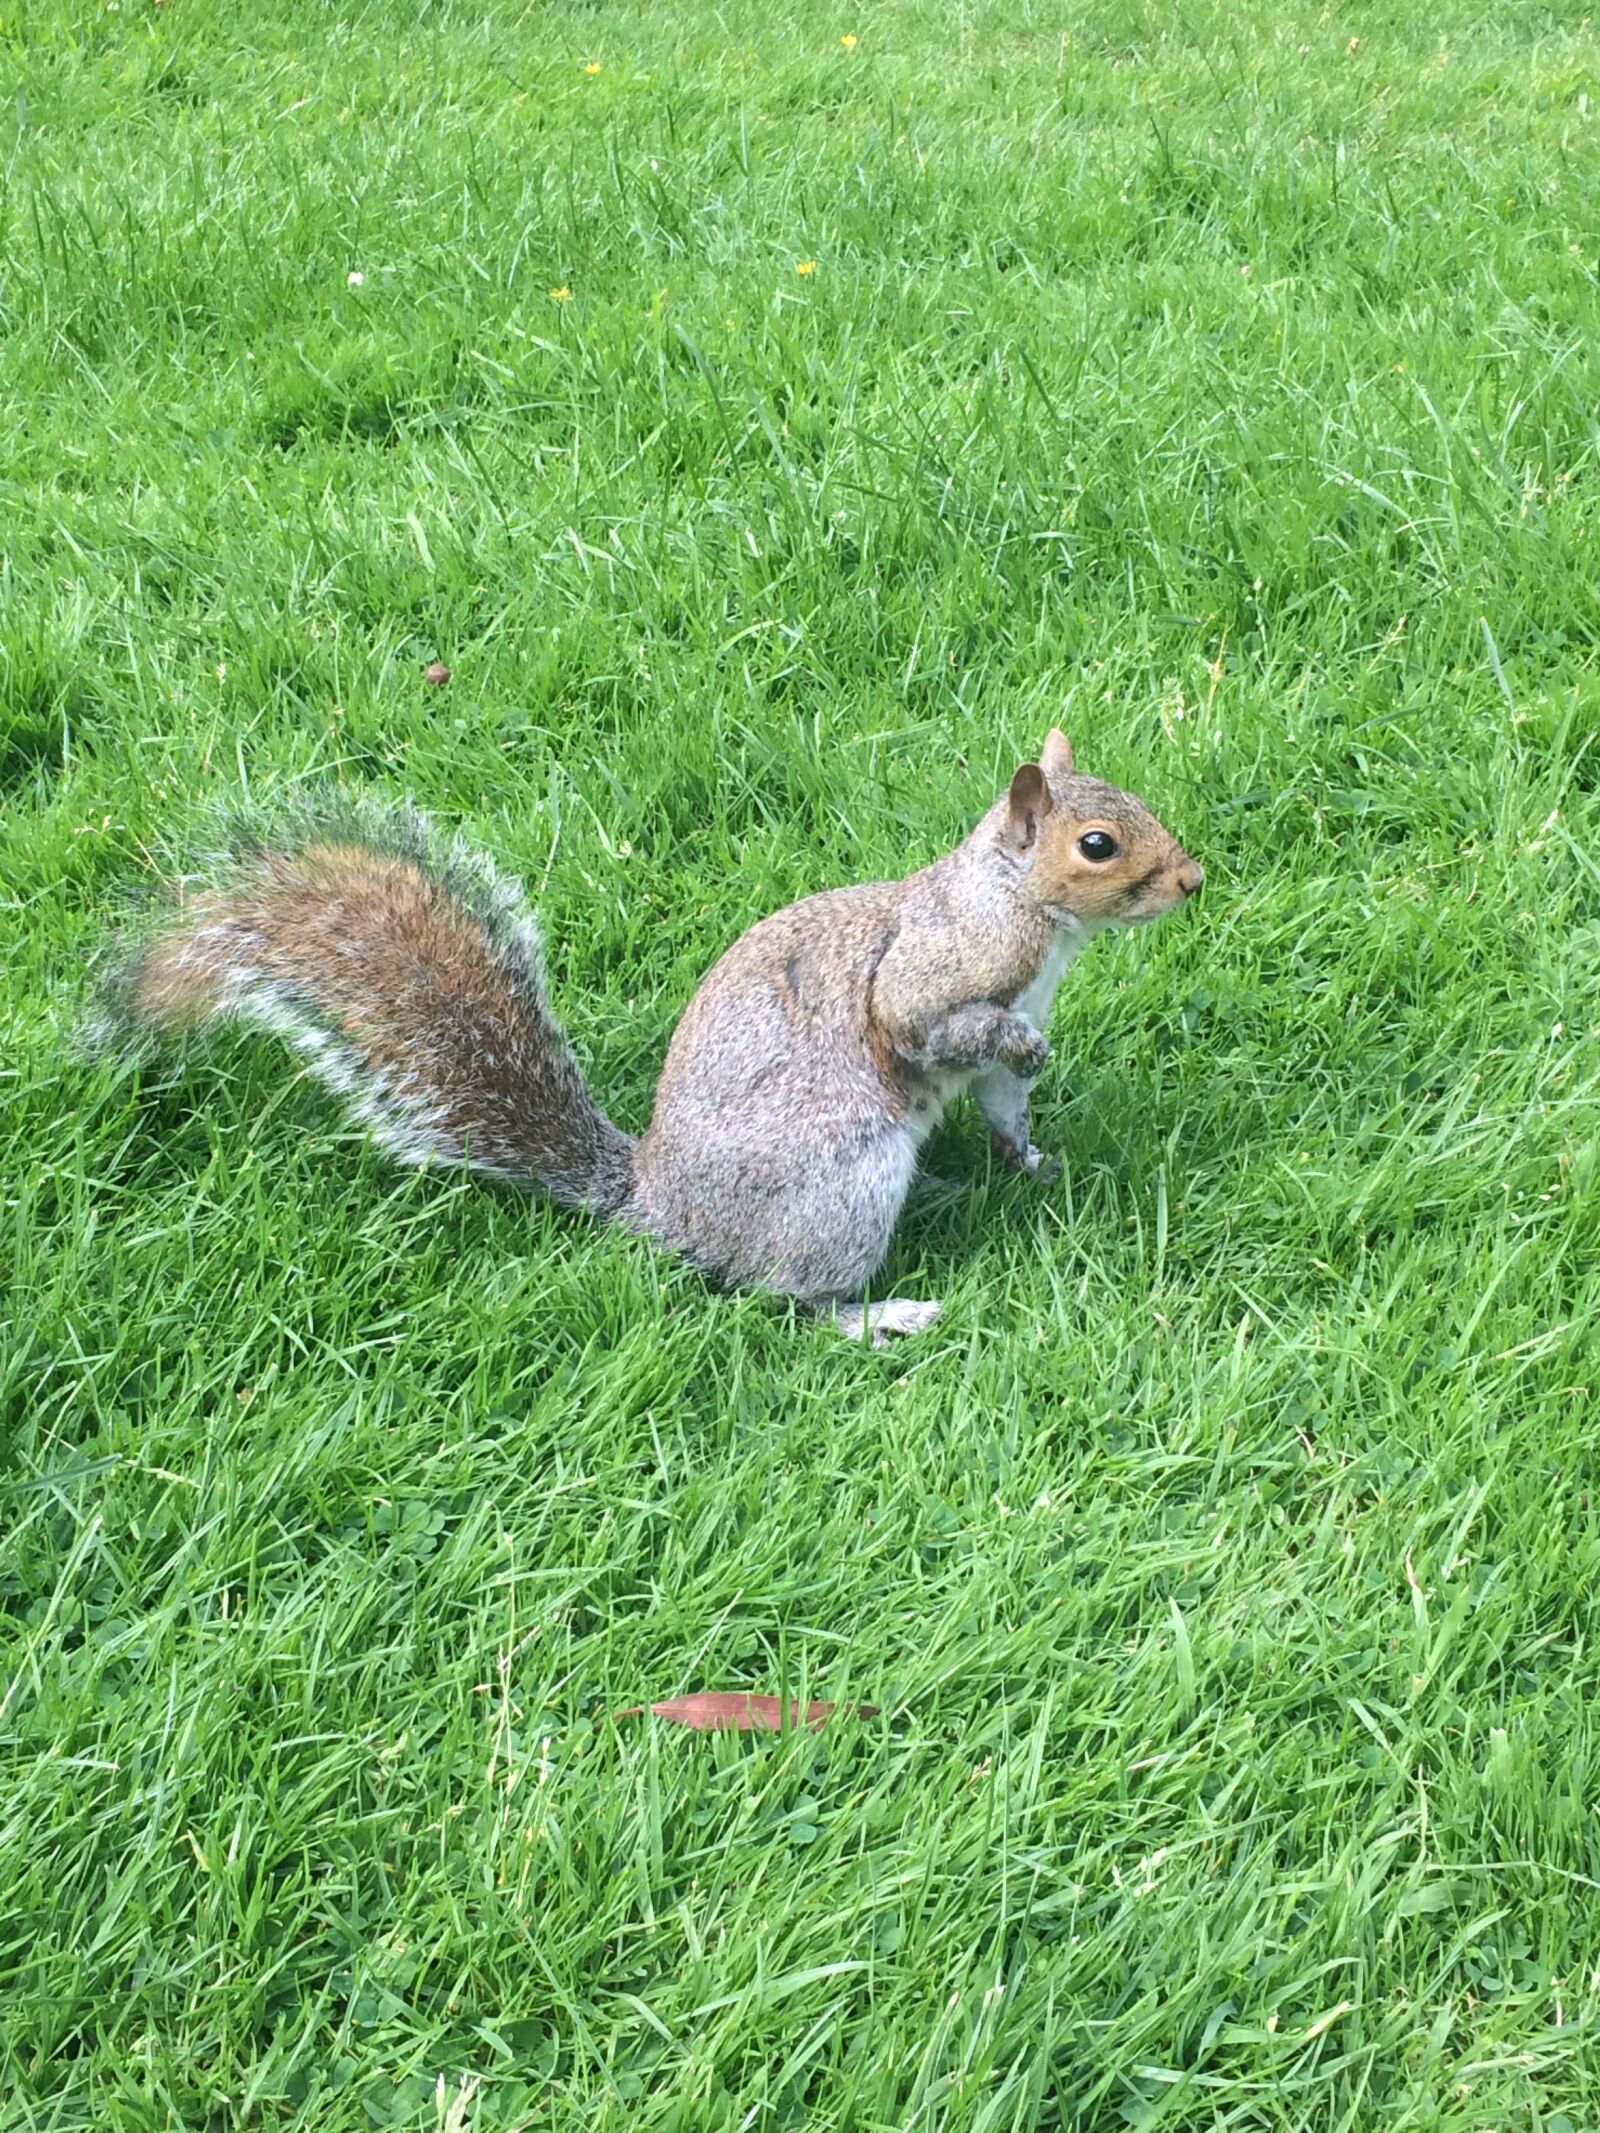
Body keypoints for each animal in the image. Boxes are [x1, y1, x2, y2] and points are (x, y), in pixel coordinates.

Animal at [101, 729, 1201, 1344]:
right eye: (1096, 845)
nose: (1192, 879)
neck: (1023, 909)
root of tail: (659, 1209)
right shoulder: (936, 969)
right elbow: (928, 1023)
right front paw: (1020, 1055)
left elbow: (1003, 1102)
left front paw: (1031, 1158)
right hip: (836, 1188)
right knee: (788, 1299)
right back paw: (878, 1315)